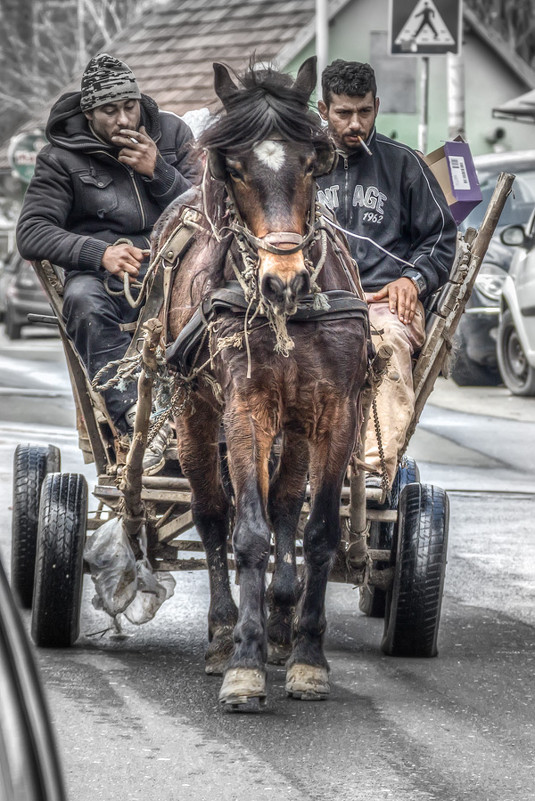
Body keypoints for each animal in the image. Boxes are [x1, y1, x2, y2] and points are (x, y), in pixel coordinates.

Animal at [155, 54, 370, 708]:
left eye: (311, 162)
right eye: (235, 168)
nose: (283, 281)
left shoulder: (335, 411)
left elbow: (315, 530)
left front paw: (305, 654)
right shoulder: (245, 409)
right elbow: (246, 533)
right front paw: (244, 663)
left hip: (295, 424)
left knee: (284, 508)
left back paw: (278, 621)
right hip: (196, 415)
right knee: (212, 515)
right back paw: (224, 632)